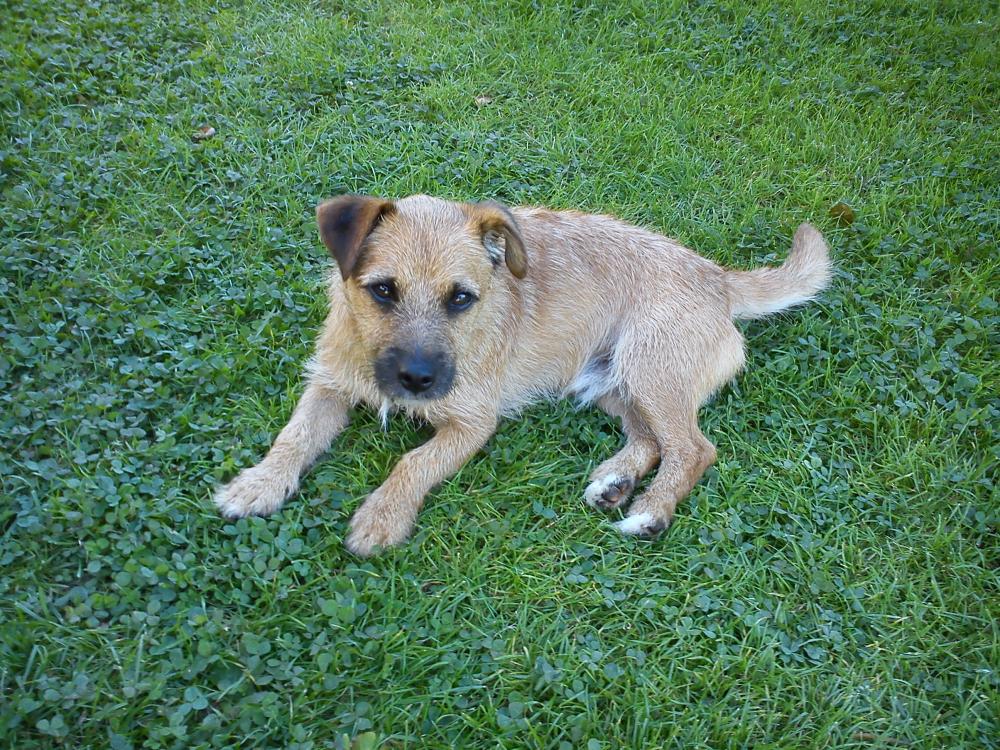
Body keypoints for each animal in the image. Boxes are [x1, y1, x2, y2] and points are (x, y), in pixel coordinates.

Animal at [215, 194, 831, 556]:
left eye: (461, 298)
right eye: (383, 290)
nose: (416, 379)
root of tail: (719, 279)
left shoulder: (470, 423)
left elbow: (414, 463)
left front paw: (382, 518)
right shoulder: (330, 384)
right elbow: (294, 436)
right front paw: (258, 484)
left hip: (650, 368)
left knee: (694, 447)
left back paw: (649, 512)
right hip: (612, 383)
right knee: (651, 440)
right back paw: (615, 483)